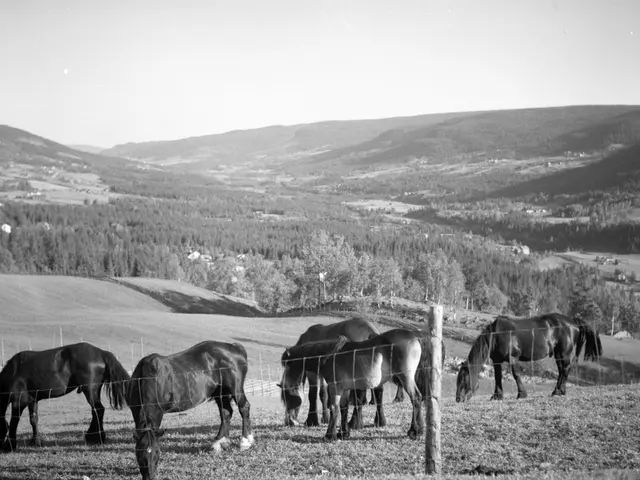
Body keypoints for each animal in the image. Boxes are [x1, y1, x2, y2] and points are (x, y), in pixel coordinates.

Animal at [0, 342, 130, 451]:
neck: (13, 372)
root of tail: (100, 352)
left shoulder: (18, 401)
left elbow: (14, 421)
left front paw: (9, 445)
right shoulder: (32, 400)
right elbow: (33, 420)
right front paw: (36, 441)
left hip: (89, 390)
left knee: (98, 410)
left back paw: (96, 438)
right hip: (94, 390)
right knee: (96, 411)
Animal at [127, 340, 254, 480]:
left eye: (157, 454)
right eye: (139, 456)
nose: (150, 477)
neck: (152, 378)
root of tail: (234, 347)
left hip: (235, 388)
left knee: (244, 408)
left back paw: (245, 441)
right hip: (220, 392)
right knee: (226, 413)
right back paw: (219, 442)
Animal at [280, 328, 434, 441]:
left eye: (287, 365)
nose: (290, 421)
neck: (331, 356)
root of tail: (414, 336)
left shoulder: (335, 387)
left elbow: (334, 408)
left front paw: (330, 435)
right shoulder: (345, 389)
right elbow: (343, 408)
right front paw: (343, 433)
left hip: (406, 378)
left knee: (416, 398)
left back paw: (414, 431)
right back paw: (419, 430)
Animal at [456, 313, 603, 403]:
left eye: (463, 380)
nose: (458, 399)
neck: (497, 335)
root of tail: (572, 321)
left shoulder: (513, 358)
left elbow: (516, 375)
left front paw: (521, 394)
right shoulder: (497, 361)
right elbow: (498, 377)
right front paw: (497, 395)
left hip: (563, 353)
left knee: (565, 370)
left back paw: (557, 391)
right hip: (558, 355)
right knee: (562, 371)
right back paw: (560, 391)